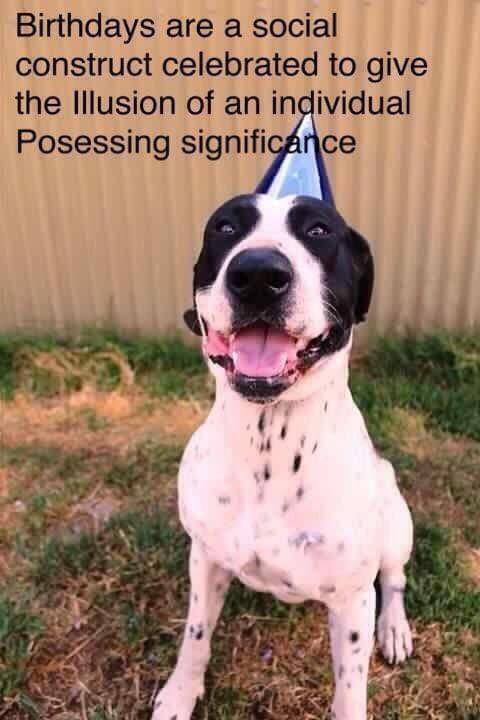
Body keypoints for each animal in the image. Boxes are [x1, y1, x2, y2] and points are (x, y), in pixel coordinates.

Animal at [153, 193, 412, 720]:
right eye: (225, 227)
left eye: (318, 231)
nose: (257, 274)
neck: (270, 438)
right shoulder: (204, 558)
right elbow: (195, 635)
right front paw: (180, 693)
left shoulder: (353, 600)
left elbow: (350, 687)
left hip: (398, 524)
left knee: (394, 579)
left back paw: (395, 628)